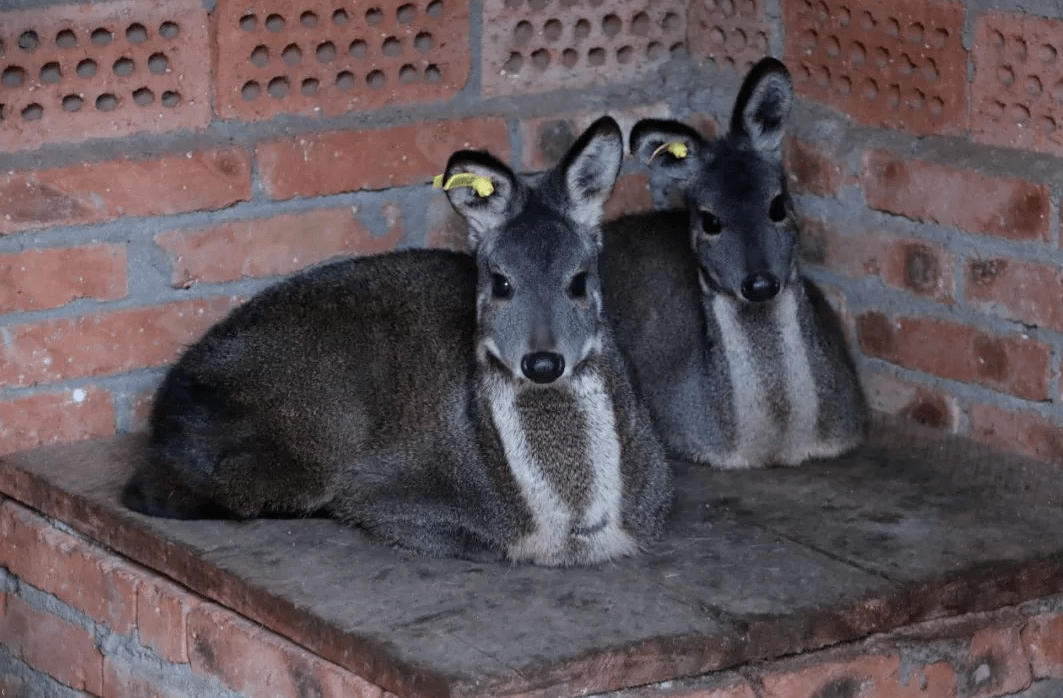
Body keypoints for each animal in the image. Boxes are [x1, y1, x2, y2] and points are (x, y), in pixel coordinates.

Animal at [122, 118, 671, 565]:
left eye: (579, 281)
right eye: (500, 282)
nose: (541, 362)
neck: (573, 530)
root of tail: (164, 408)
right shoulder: (385, 492)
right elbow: (477, 544)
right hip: (316, 437)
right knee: (150, 492)